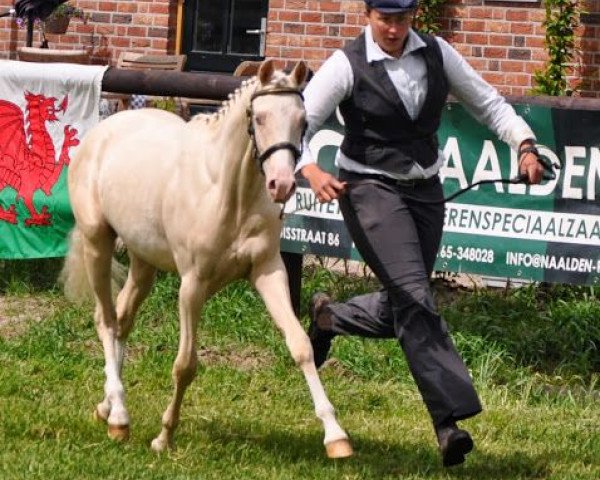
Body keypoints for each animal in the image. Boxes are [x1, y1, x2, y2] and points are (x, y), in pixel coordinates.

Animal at [62, 60, 352, 458]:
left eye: (303, 120)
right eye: (259, 117)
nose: (281, 185)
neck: (227, 192)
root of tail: (101, 131)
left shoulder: (268, 272)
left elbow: (301, 346)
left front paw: (336, 436)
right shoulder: (192, 285)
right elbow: (185, 365)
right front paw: (164, 437)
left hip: (143, 261)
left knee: (121, 320)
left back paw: (106, 407)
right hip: (97, 242)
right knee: (105, 320)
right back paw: (119, 417)